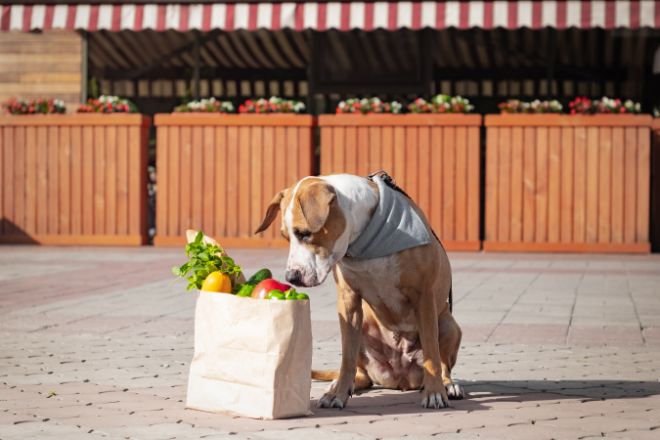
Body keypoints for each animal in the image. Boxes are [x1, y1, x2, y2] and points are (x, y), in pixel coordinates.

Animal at [255, 172, 462, 410]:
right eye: (286, 237)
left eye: (304, 234)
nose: (291, 277)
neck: (365, 243)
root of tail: (401, 379)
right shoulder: (348, 301)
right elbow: (347, 358)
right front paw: (338, 394)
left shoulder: (424, 297)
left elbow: (431, 353)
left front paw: (435, 393)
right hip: (363, 327)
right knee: (360, 370)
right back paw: (341, 384)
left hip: (447, 323)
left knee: (443, 362)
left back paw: (447, 385)